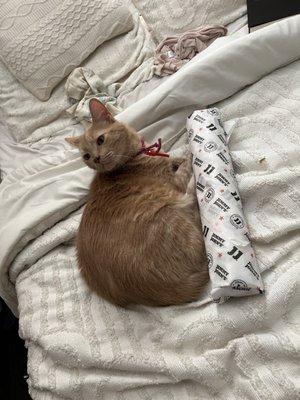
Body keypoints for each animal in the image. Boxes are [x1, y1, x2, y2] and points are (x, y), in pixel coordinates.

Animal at [65, 100, 209, 306]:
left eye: (100, 140)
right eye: (86, 156)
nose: (96, 158)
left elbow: (176, 156)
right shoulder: (176, 180)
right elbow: (183, 161)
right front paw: (190, 148)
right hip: (170, 211)